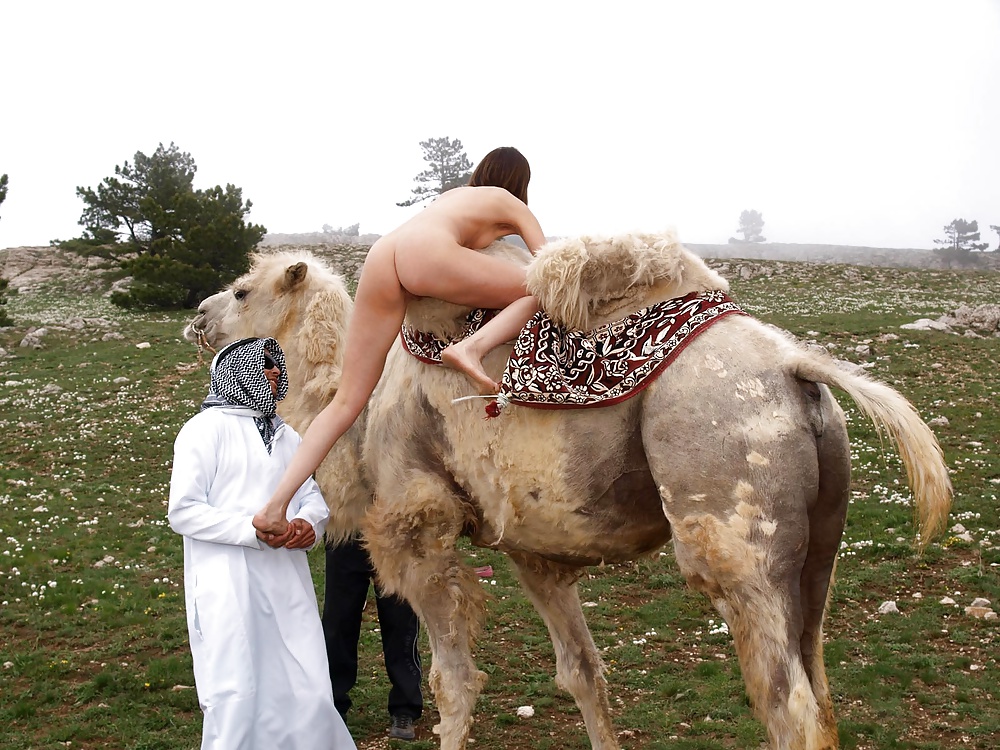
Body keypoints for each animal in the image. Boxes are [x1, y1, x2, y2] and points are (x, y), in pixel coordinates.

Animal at [183, 232, 951, 750]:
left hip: (733, 522)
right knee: (819, 687)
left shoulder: (417, 518)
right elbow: (582, 672)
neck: (358, 397)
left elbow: (453, 682)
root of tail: (796, 367)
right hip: (819, 546)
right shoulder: (533, 550)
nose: (197, 317)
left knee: (786, 706)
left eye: (244, 290)